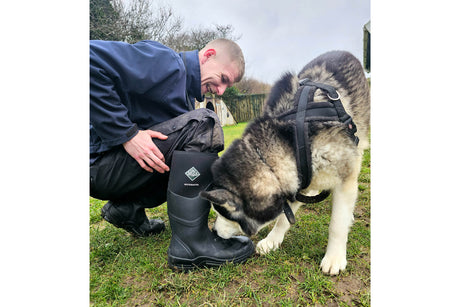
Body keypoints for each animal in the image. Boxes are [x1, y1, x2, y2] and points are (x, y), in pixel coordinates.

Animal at [201, 51, 370, 276]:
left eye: (223, 213)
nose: (213, 230)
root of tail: (343, 52)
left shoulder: (344, 177)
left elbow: (337, 223)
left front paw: (334, 256)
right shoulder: (299, 177)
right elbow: (283, 217)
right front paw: (273, 240)